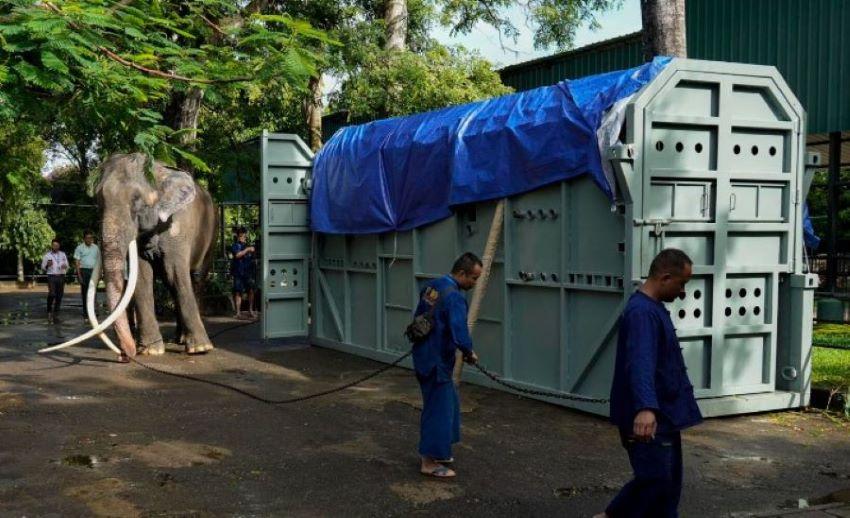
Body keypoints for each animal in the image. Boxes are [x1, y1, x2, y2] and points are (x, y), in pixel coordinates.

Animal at [50, 154, 215, 362]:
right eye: (98, 202)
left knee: (195, 278)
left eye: (136, 200)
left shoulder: (178, 227)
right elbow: (142, 279)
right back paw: (179, 339)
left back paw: (190, 342)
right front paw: (150, 351)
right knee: (171, 284)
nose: (125, 355)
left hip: (210, 234)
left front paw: (201, 349)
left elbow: (175, 272)